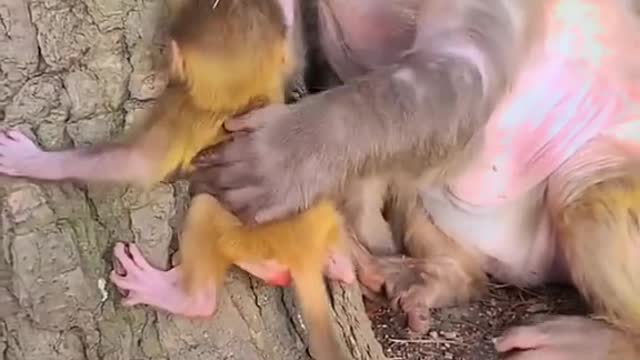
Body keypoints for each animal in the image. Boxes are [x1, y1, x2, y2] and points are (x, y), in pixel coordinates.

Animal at [0, 1, 350, 358]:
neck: (244, 98)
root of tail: (303, 255)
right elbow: (290, 50)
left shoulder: (183, 108)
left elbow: (135, 163)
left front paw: (32, 160)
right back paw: (340, 264)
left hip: (243, 235)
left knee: (205, 220)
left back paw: (184, 297)